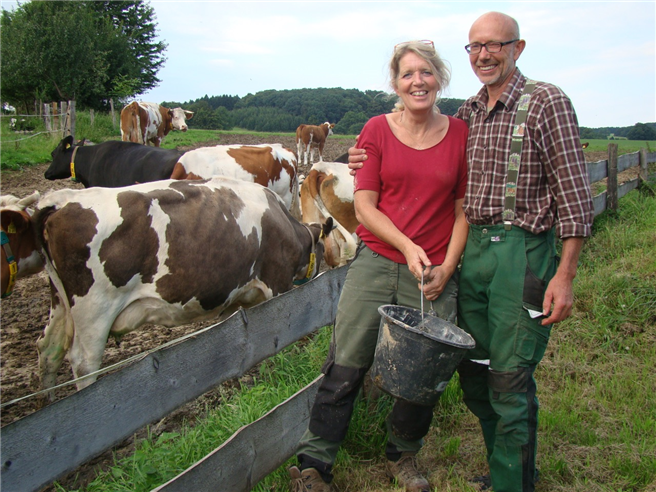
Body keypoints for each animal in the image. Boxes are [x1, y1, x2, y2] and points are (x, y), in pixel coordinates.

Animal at [2, 179, 334, 398]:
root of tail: (62, 200)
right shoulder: (277, 285)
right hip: (94, 310)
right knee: (84, 364)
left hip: (60, 302)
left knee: (49, 348)